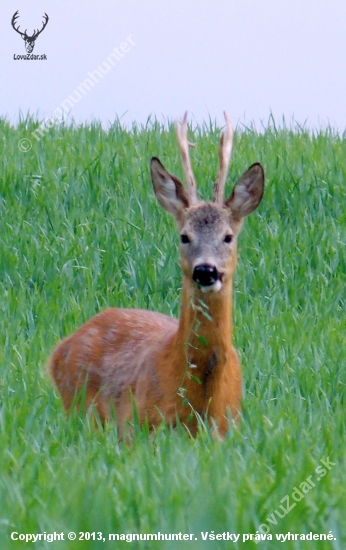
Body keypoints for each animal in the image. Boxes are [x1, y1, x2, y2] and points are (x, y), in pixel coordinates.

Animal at [49, 113, 264, 440]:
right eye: (184, 236)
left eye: (228, 237)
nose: (205, 270)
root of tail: (59, 351)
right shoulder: (137, 426)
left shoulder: (230, 428)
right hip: (79, 411)